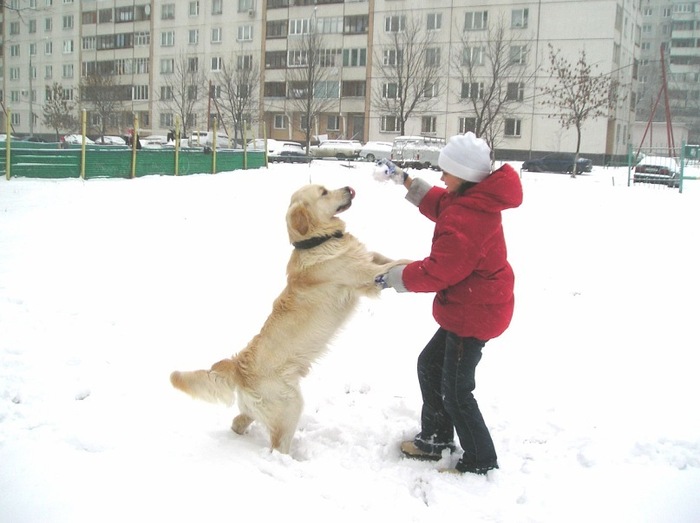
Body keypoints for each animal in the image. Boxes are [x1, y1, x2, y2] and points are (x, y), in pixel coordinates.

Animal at [170, 185, 404, 454]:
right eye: (324, 192)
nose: (348, 188)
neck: (319, 242)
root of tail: (238, 366)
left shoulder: (369, 260)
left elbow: (387, 257)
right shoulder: (363, 276)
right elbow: (397, 264)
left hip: (264, 406)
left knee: (239, 419)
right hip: (290, 405)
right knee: (276, 444)